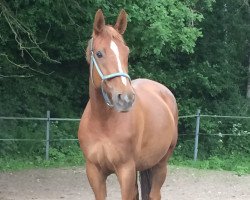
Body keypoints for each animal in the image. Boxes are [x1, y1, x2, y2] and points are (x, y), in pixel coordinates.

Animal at [78, 8, 178, 199]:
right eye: (99, 53)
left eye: (126, 52)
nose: (125, 98)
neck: (103, 122)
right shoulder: (94, 172)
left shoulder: (126, 170)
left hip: (160, 164)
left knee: (154, 194)